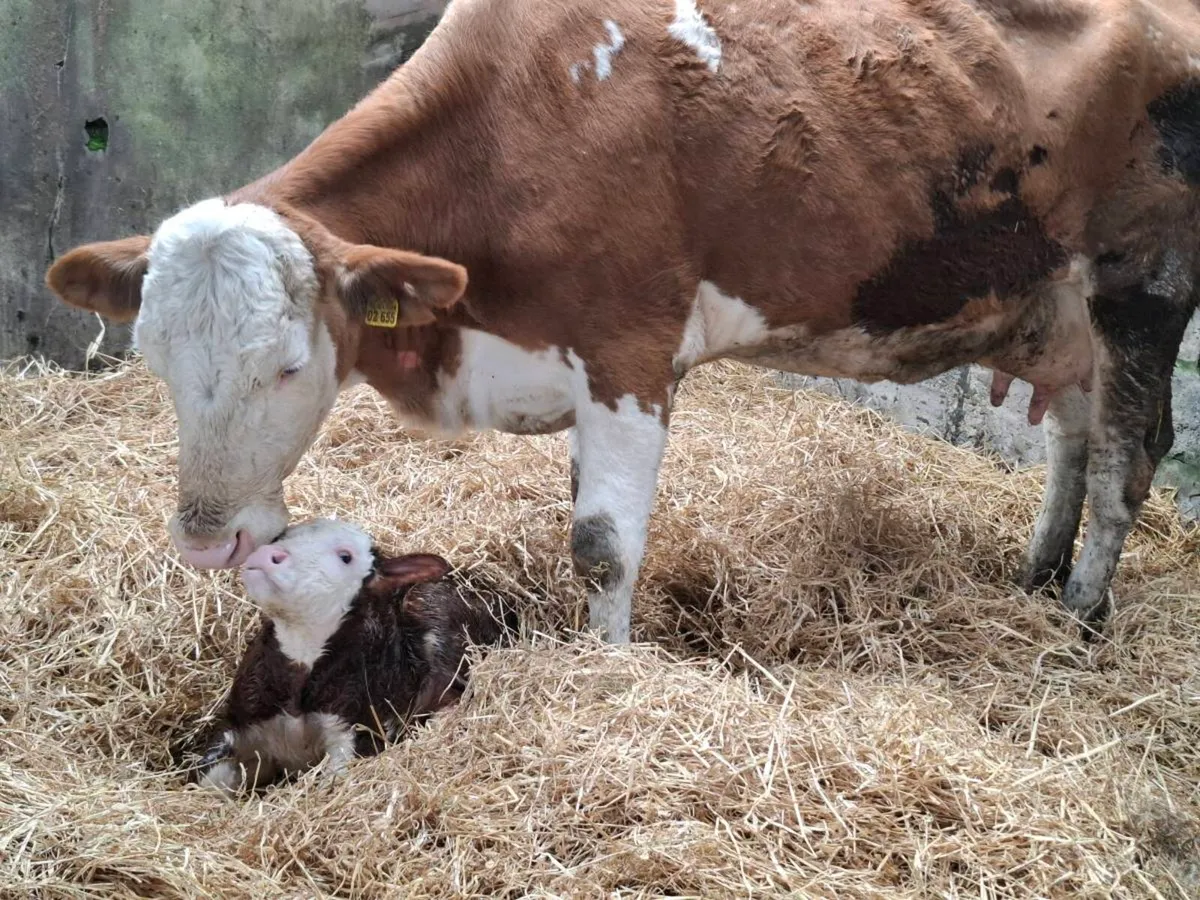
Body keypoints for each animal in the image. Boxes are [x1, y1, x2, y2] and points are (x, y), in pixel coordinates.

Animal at [44, 0, 1200, 643]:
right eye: (152, 359)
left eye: (288, 365)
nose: (207, 541)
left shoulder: (629, 350)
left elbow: (601, 545)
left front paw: (608, 664)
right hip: (1057, 301)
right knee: (1075, 434)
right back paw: (1037, 575)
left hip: (1144, 285)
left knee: (1127, 459)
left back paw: (1080, 617)